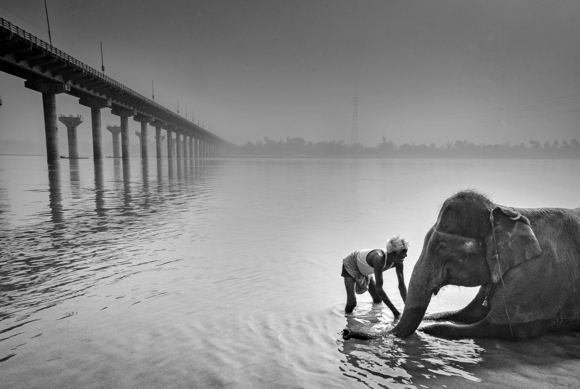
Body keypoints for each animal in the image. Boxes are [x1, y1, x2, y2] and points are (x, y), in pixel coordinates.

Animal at [344, 190, 580, 340]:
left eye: (441, 248)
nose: (346, 332)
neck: (506, 210)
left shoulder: (538, 277)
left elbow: (501, 326)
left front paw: (427, 328)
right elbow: (469, 313)